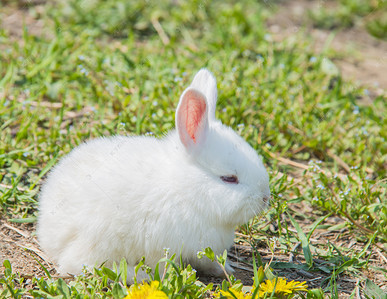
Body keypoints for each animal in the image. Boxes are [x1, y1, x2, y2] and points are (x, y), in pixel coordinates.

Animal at [38, 69, 272, 282]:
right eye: (229, 178)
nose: (265, 198)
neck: (185, 191)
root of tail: (47, 228)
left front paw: (225, 270)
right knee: (80, 265)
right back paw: (140, 275)